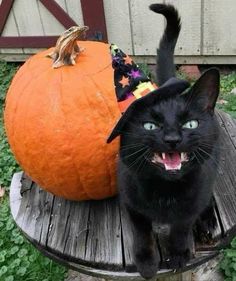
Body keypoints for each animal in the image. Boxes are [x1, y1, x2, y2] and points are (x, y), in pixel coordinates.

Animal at [107, 2, 219, 278]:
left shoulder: (189, 206)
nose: (172, 139)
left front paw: (178, 255)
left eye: (190, 124)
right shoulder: (131, 202)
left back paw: (208, 220)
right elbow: (142, 233)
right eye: (150, 126)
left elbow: (180, 229)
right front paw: (146, 263)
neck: (165, 191)